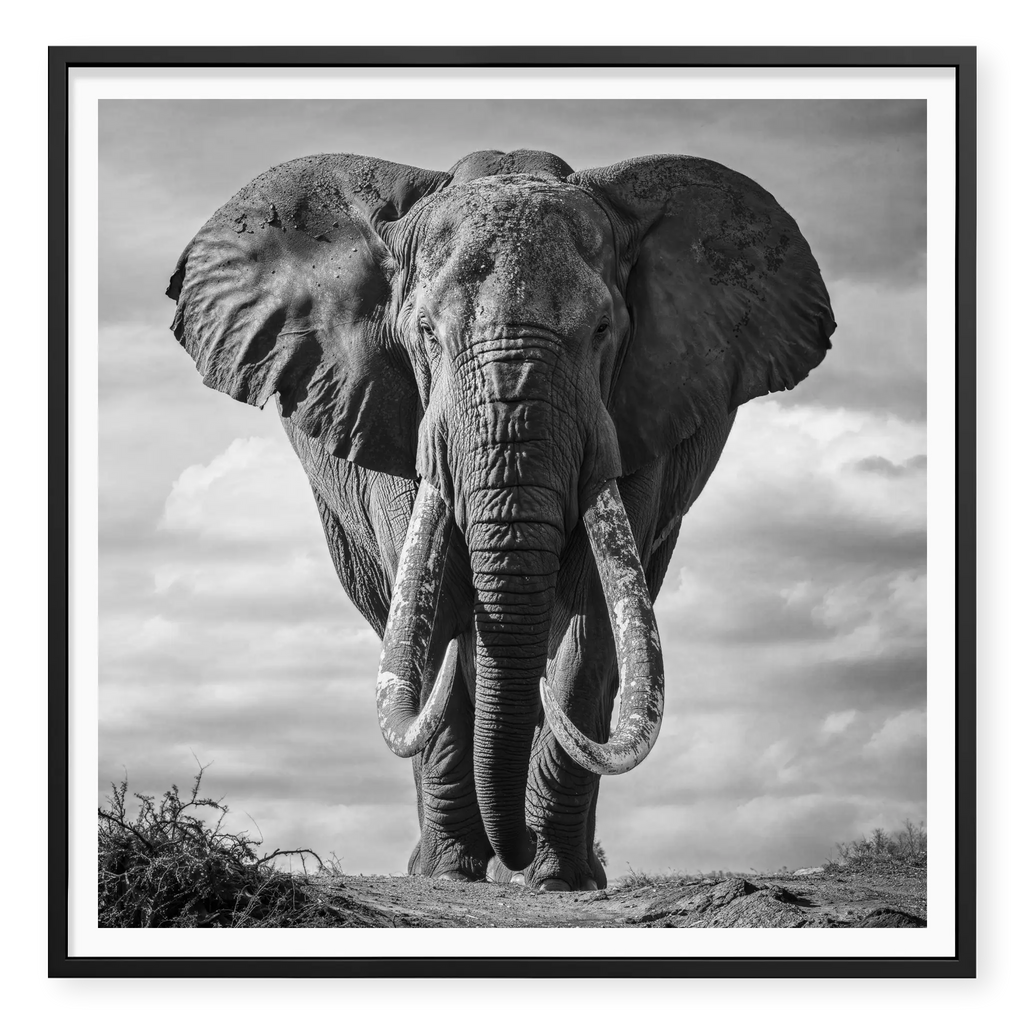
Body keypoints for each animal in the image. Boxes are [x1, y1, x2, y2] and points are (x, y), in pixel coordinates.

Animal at [166, 148, 835, 892]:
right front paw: (451, 874)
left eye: (602, 331)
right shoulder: (387, 412)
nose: (510, 852)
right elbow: (432, 618)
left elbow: (591, 620)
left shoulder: (641, 416)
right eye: (425, 334)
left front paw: (558, 879)